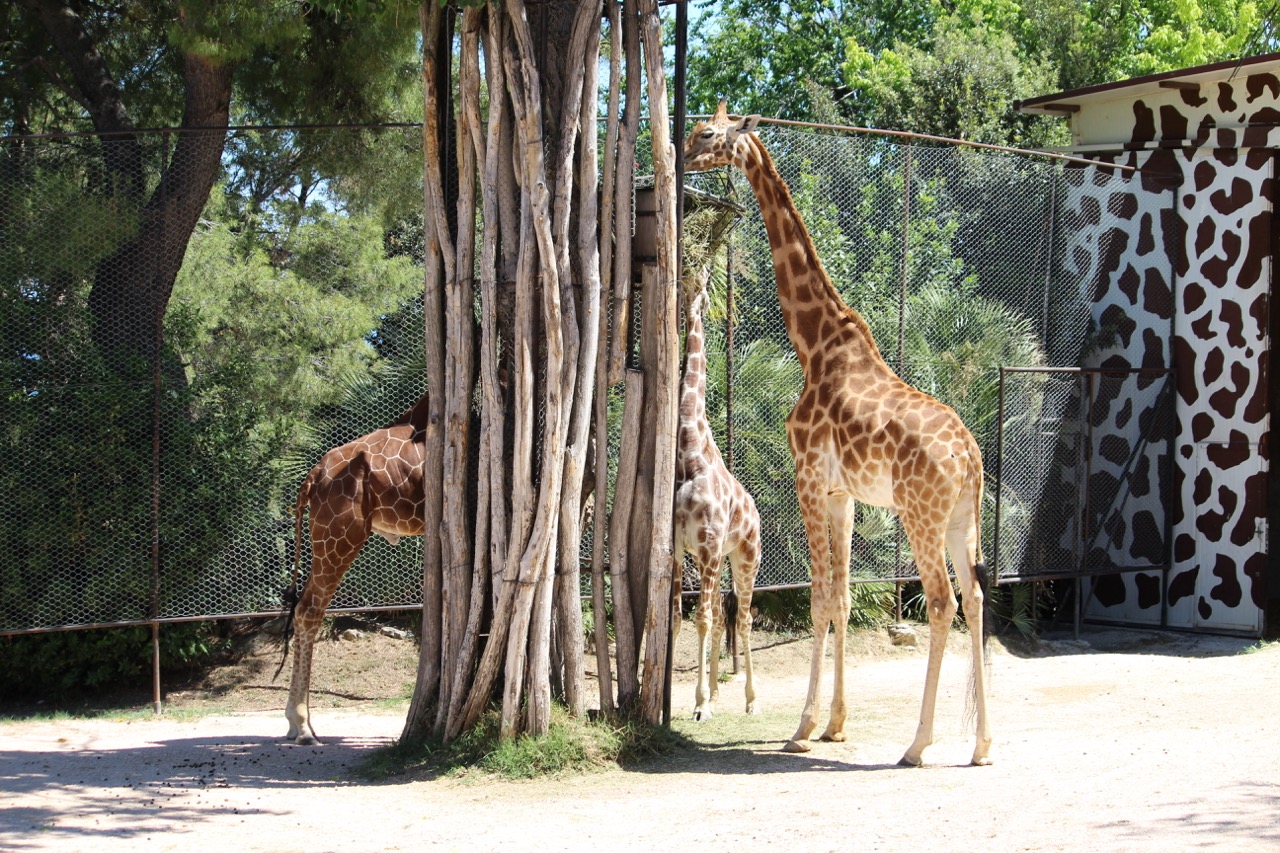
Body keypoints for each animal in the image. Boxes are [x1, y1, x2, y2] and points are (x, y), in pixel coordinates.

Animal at [279, 394, 427, 742]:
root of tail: (313, 476)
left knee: (303, 606)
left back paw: (296, 722)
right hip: (341, 534)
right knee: (309, 609)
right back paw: (302, 725)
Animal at [686, 101, 993, 763]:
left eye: (707, 133)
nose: (679, 154)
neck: (816, 345)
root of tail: (971, 456)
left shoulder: (806, 477)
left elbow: (821, 597)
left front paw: (803, 729)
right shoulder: (843, 494)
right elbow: (845, 598)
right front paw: (835, 723)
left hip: (921, 513)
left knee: (940, 601)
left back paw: (917, 743)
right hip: (963, 516)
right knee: (976, 598)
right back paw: (982, 744)